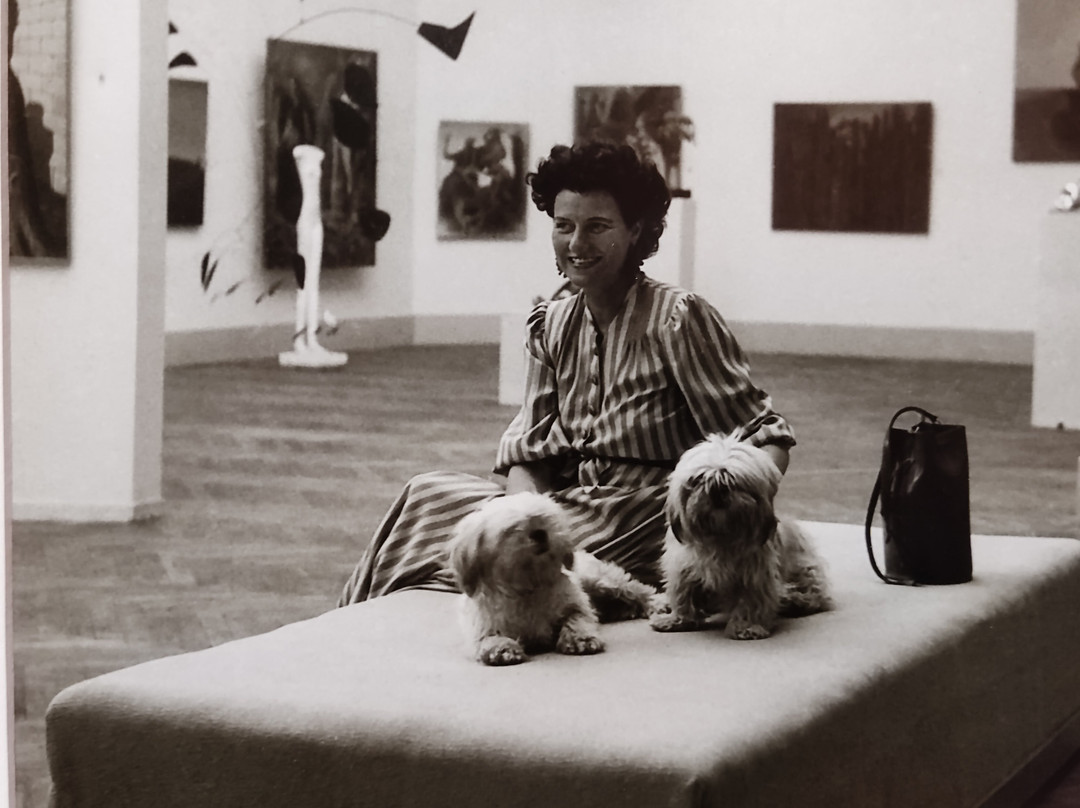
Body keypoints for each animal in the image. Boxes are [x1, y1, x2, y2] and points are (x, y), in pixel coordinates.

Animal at [448, 491, 659, 665]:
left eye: (545, 520)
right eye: (512, 529)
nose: (540, 533)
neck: (528, 586)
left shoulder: (576, 604)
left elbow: (577, 619)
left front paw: (581, 638)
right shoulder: (483, 625)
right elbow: (488, 637)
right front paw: (501, 648)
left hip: (601, 581)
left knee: (637, 589)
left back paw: (655, 604)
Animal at [649, 432, 831, 640]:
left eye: (732, 480)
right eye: (699, 479)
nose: (717, 490)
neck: (721, 536)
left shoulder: (755, 574)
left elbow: (751, 601)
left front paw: (747, 626)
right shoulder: (682, 568)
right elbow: (683, 595)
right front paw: (677, 619)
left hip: (806, 572)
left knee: (812, 595)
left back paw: (792, 598)